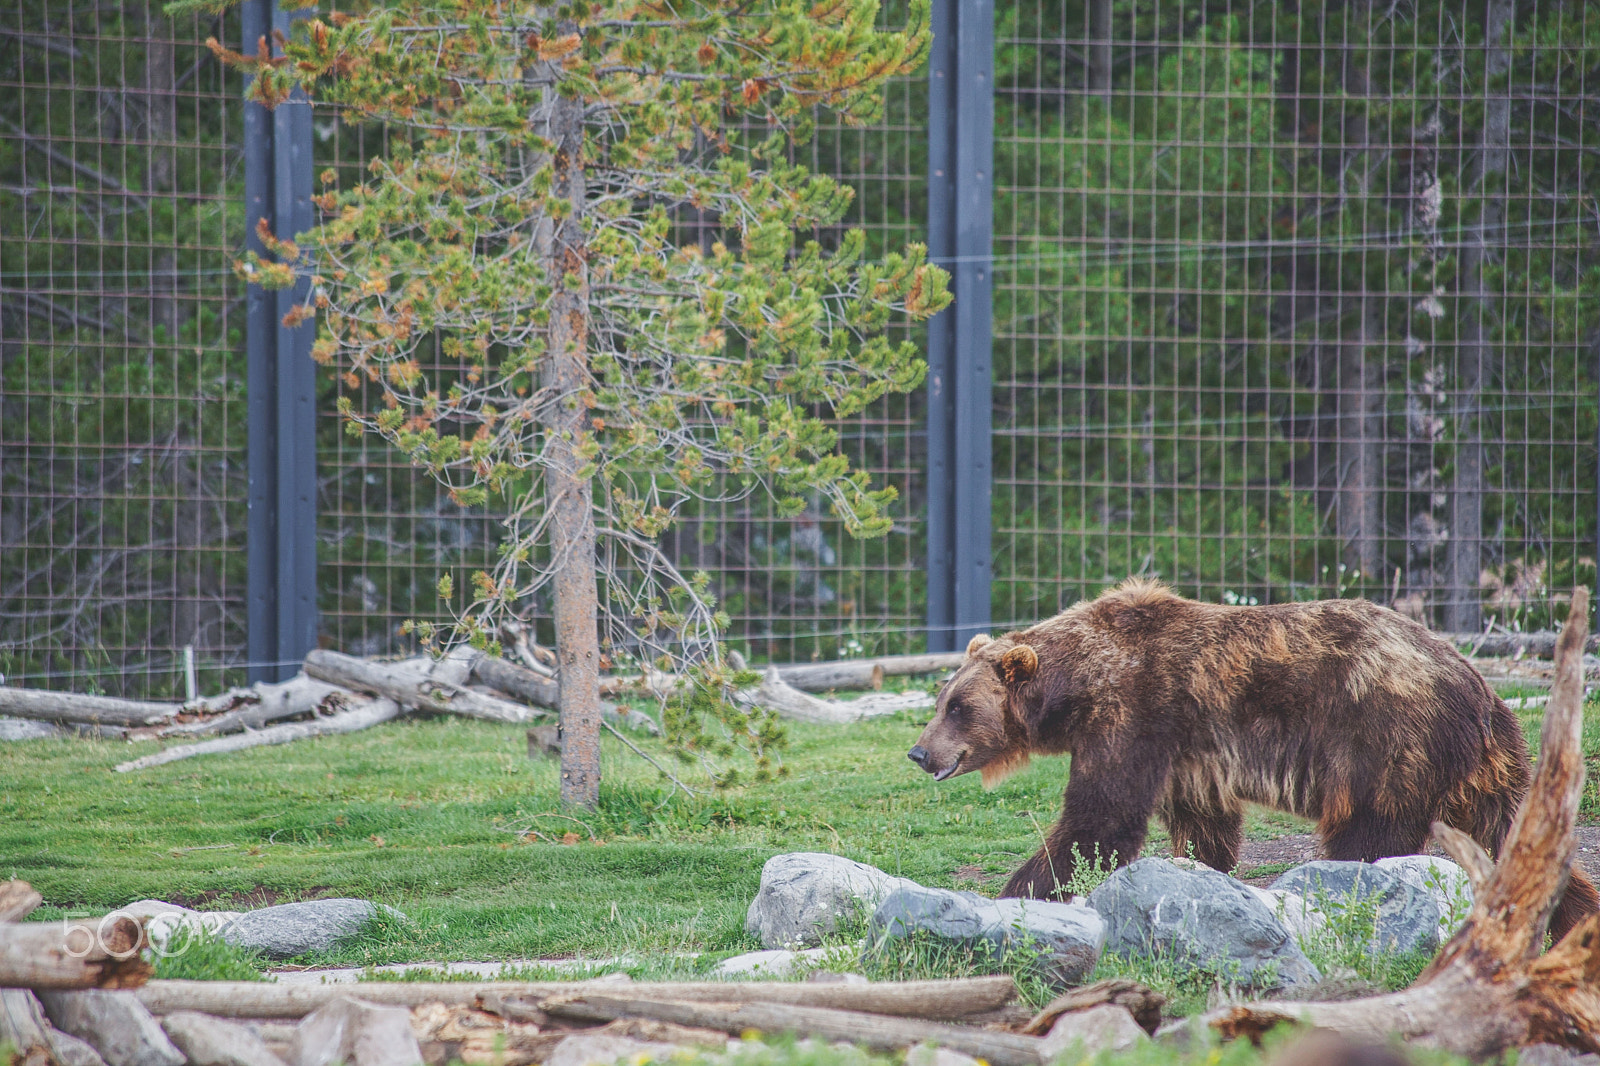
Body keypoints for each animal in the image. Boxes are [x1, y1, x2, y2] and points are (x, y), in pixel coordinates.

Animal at [907, 578, 1599, 942]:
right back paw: (1571, 917)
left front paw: (1020, 889)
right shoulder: (1187, 751)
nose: (919, 751)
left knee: (1368, 833)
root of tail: (1478, 685)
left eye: (959, 706)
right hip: (1485, 766)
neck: (1076, 687)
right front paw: (1199, 877)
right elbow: (1202, 824)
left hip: (1384, 741)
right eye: (941, 699)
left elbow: (1100, 818)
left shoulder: (1137, 709)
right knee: (1512, 828)